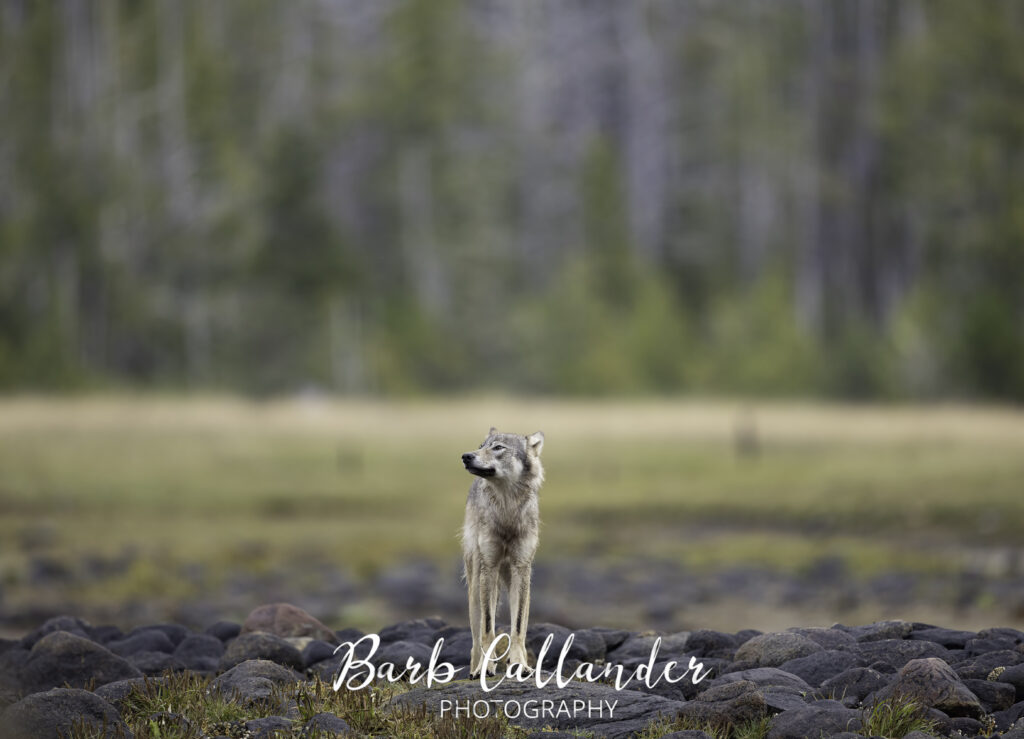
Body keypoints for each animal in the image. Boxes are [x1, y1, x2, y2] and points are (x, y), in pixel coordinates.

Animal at [460, 427, 545, 677]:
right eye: (481, 446)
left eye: (498, 448)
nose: (466, 456)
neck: (507, 513)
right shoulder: (489, 567)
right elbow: (488, 628)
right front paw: (485, 667)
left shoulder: (521, 568)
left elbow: (517, 626)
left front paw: (518, 664)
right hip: (476, 585)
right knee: (475, 638)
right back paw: (475, 668)